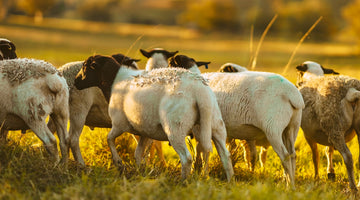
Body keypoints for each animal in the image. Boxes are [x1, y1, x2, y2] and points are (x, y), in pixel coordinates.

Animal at [74, 54, 235, 181]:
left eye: (86, 66)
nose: (75, 82)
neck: (115, 81)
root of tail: (200, 92)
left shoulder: (119, 123)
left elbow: (109, 139)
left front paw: (118, 163)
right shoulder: (145, 131)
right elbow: (138, 154)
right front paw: (139, 172)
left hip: (175, 127)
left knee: (187, 158)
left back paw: (183, 182)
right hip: (216, 125)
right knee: (225, 156)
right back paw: (230, 181)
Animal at [169, 54, 304, 188]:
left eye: (171, 63)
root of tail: (292, 94)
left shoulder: (199, 128)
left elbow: (201, 152)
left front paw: (198, 173)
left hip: (273, 128)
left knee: (285, 156)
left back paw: (289, 185)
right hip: (292, 127)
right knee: (292, 154)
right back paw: (291, 183)